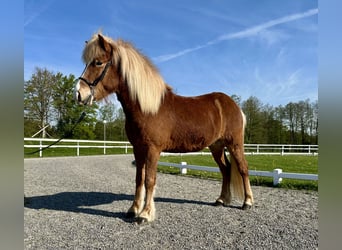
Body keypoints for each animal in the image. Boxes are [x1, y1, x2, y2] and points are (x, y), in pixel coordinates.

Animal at [75, 33, 254, 225]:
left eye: (98, 62)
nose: (79, 94)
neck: (147, 108)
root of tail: (234, 105)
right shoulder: (138, 149)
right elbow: (139, 179)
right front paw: (133, 210)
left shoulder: (153, 149)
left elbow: (149, 180)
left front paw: (145, 214)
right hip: (216, 146)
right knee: (226, 169)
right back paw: (221, 200)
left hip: (235, 144)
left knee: (243, 168)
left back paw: (247, 202)